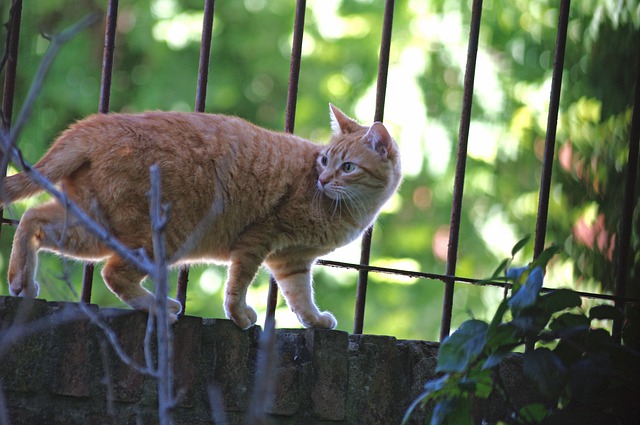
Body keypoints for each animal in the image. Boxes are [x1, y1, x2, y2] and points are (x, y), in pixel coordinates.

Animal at [0, 105, 400, 328]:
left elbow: (300, 296)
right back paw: (158, 307)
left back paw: (21, 280)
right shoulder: (258, 241)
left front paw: (314, 321)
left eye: (346, 167)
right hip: (156, 238)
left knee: (33, 219)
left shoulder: (292, 261)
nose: (324, 178)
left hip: (92, 225)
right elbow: (238, 285)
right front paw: (239, 316)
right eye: (325, 160)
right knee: (113, 273)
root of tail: (96, 125)